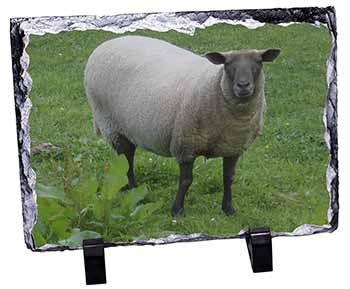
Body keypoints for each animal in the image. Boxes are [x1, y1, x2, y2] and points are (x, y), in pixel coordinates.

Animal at [85, 35, 282, 216]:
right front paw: (177, 210)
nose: (243, 85)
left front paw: (228, 209)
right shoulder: (185, 145)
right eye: (227, 64)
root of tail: (108, 42)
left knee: (128, 155)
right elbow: (186, 180)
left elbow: (229, 178)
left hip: (126, 126)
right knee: (126, 157)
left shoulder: (233, 147)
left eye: (259, 62)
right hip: (110, 123)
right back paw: (132, 189)